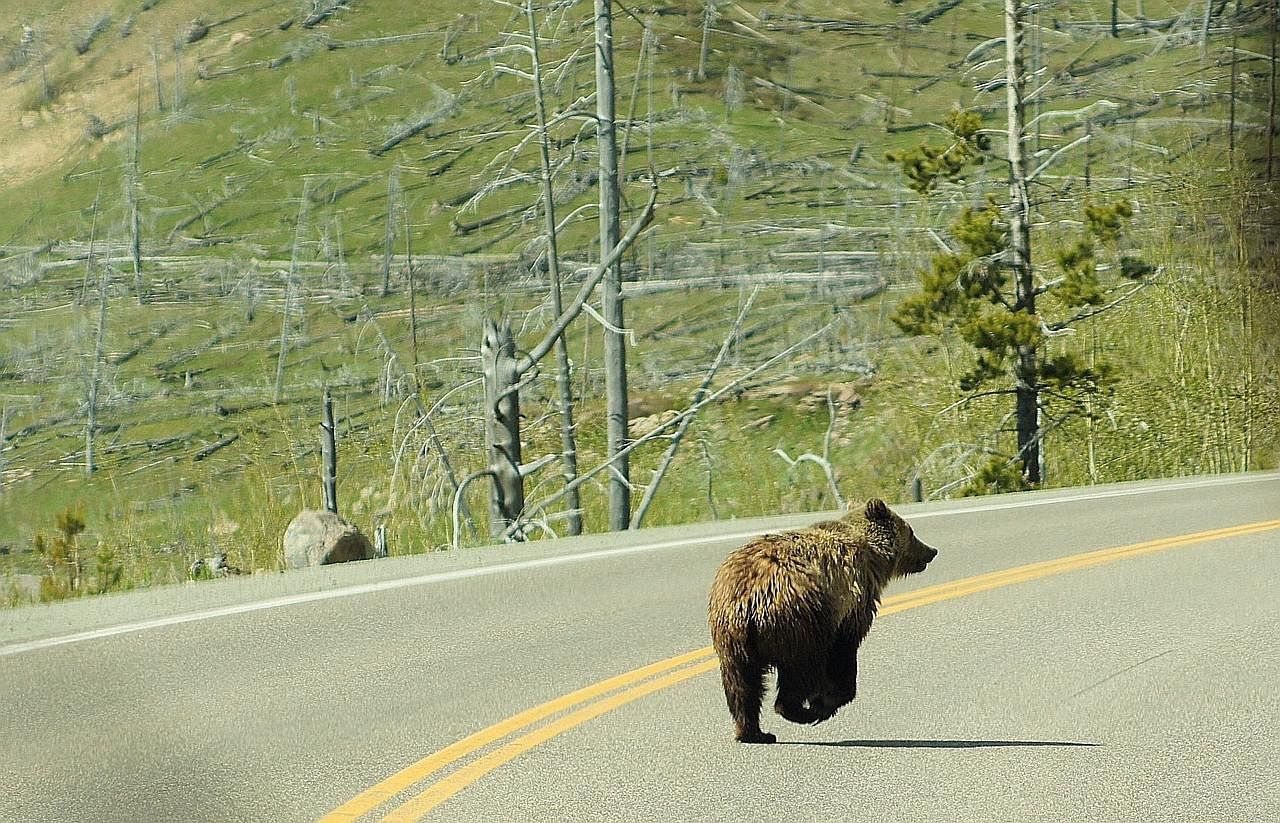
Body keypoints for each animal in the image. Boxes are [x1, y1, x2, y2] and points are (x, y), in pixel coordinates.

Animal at [706, 499, 936, 742]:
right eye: (911, 531)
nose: (931, 551)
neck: (874, 556)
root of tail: (749, 600)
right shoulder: (851, 605)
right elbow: (843, 652)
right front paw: (829, 699)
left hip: (731, 641)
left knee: (743, 685)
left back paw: (754, 732)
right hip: (801, 621)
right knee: (801, 670)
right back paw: (804, 712)